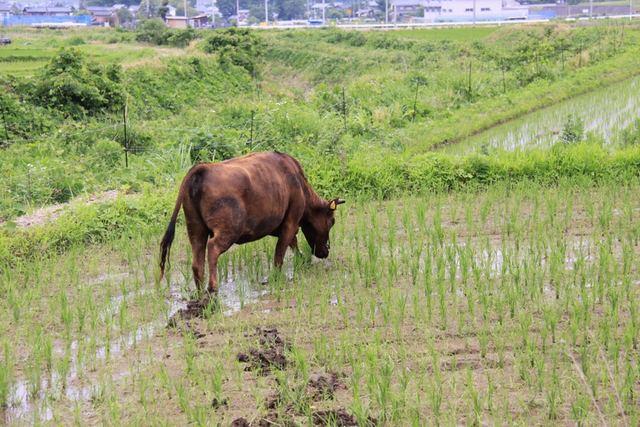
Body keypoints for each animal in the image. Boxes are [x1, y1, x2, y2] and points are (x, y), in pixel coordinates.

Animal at [158, 151, 344, 298]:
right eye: (332, 222)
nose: (325, 252)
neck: (299, 183)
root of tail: (203, 168)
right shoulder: (291, 222)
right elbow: (280, 253)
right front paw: (277, 276)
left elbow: (292, 243)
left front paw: (302, 259)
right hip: (228, 230)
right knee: (213, 249)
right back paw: (212, 288)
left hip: (195, 229)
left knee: (197, 261)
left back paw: (199, 292)